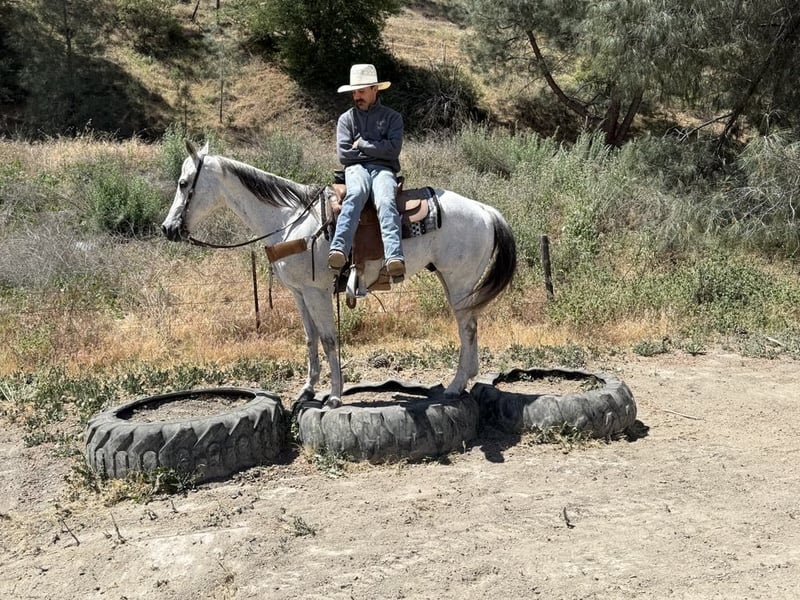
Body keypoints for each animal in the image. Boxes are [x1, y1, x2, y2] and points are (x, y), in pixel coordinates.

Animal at [161, 141, 516, 409]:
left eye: (183, 183)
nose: (168, 229)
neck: (290, 221)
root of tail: (485, 210)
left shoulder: (316, 292)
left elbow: (330, 339)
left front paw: (333, 396)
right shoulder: (299, 292)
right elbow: (310, 337)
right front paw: (307, 389)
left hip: (458, 281)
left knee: (466, 328)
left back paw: (456, 385)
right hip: (453, 281)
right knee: (469, 324)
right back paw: (465, 379)